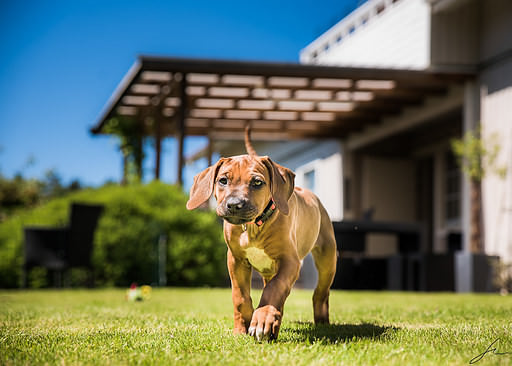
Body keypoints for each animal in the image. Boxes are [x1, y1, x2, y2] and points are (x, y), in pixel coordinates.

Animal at [186, 128, 338, 340]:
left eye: (257, 182)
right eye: (223, 180)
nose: (234, 205)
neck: (253, 227)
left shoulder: (290, 261)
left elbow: (275, 288)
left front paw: (262, 319)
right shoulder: (235, 261)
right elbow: (240, 296)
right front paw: (241, 328)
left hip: (327, 258)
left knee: (320, 292)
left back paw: (321, 321)